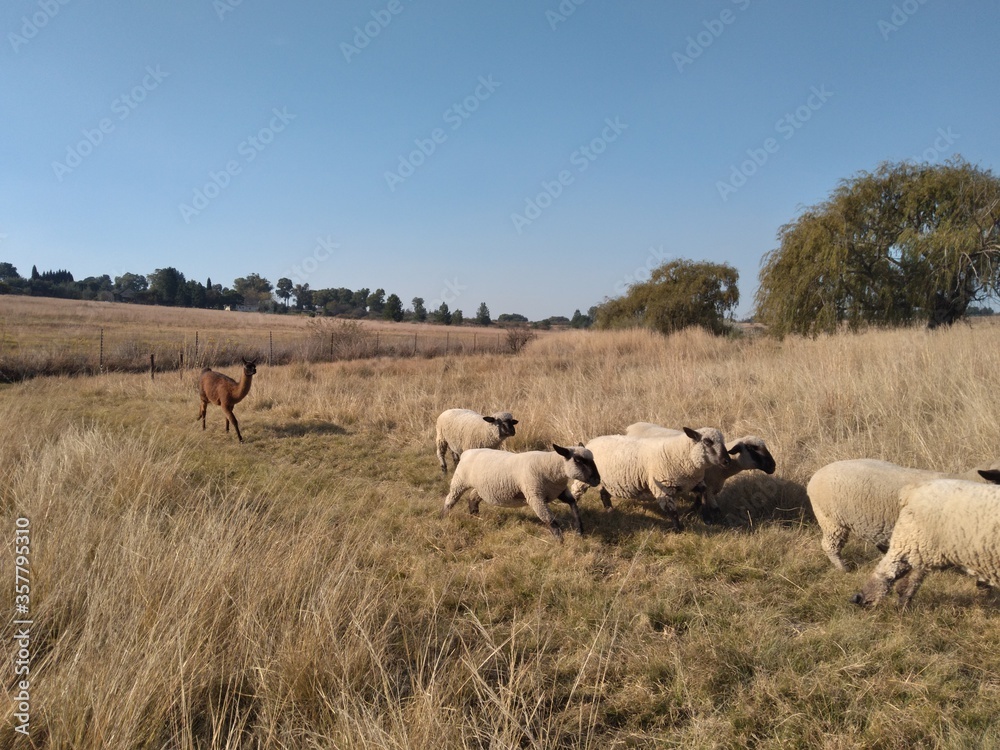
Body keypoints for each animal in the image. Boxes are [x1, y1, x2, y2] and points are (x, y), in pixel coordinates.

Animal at [440, 444, 596, 544]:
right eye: (578, 460)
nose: (597, 479)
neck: (550, 467)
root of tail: (467, 452)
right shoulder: (535, 496)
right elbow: (550, 520)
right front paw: (560, 542)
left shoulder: (559, 492)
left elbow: (573, 504)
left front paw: (579, 530)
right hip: (459, 482)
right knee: (450, 499)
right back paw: (444, 516)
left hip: (483, 487)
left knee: (473, 497)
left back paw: (475, 515)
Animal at [576, 428, 732, 536]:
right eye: (707, 442)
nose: (727, 461)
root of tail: (590, 442)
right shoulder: (664, 488)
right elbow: (672, 512)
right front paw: (679, 530)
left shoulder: (692, 483)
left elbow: (704, 493)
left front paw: (705, 516)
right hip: (584, 478)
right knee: (576, 491)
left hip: (607, 481)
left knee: (603, 493)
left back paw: (609, 509)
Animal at [620, 424, 776, 524]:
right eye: (751, 448)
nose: (773, 466)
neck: (722, 471)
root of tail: (631, 426)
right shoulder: (707, 486)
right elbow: (708, 506)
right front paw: (696, 516)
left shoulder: (708, 486)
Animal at [852, 482, 1000, 612]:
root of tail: (913, 490)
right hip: (911, 539)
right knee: (887, 570)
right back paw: (864, 599)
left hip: (919, 546)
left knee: (911, 576)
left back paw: (902, 604)